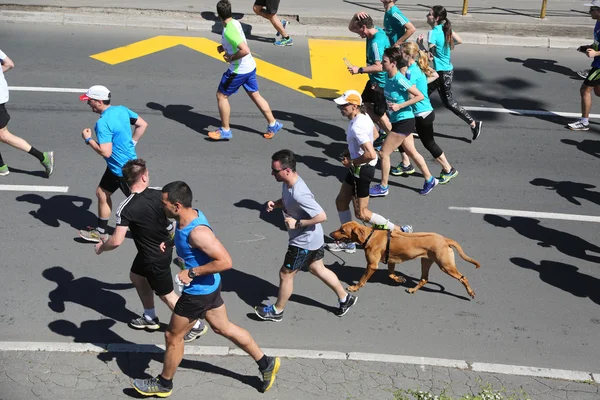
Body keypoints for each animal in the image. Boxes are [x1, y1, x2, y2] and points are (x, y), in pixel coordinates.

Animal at [330, 222, 480, 296]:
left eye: (342, 230)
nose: (331, 234)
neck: (369, 235)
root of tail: (445, 239)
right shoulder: (391, 261)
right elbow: (391, 274)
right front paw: (399, 279)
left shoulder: (372, 265)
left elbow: (362, 280)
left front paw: (354, 287)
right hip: (426, 261)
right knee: (424, 279)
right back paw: (412, 290)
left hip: (445, 265)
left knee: (463, 278)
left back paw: (470, 292)